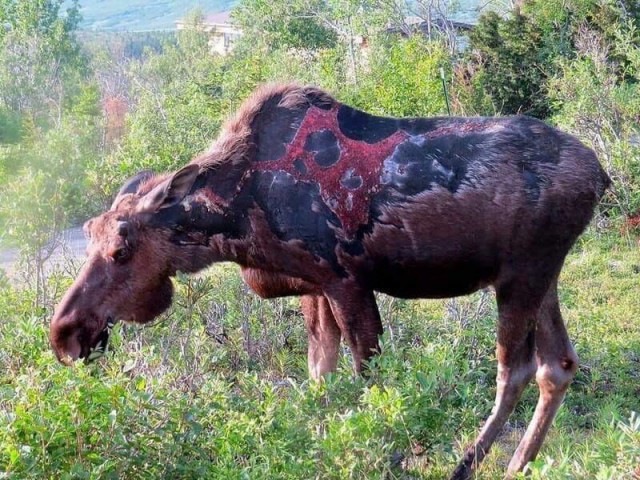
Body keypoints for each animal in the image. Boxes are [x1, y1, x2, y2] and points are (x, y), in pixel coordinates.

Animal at [50, 83, 608, 480]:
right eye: (88, 232)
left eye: (121, 249)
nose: (64, 333)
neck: (235, 216)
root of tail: (601, 175)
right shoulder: (313, 286)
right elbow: (321, 379)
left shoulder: (346, 280)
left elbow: (370, 382)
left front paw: (389, 456)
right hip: (542, 274)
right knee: (558, 365)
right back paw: (519, 464)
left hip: (520, 274)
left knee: (514, 370)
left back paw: (466, 466)